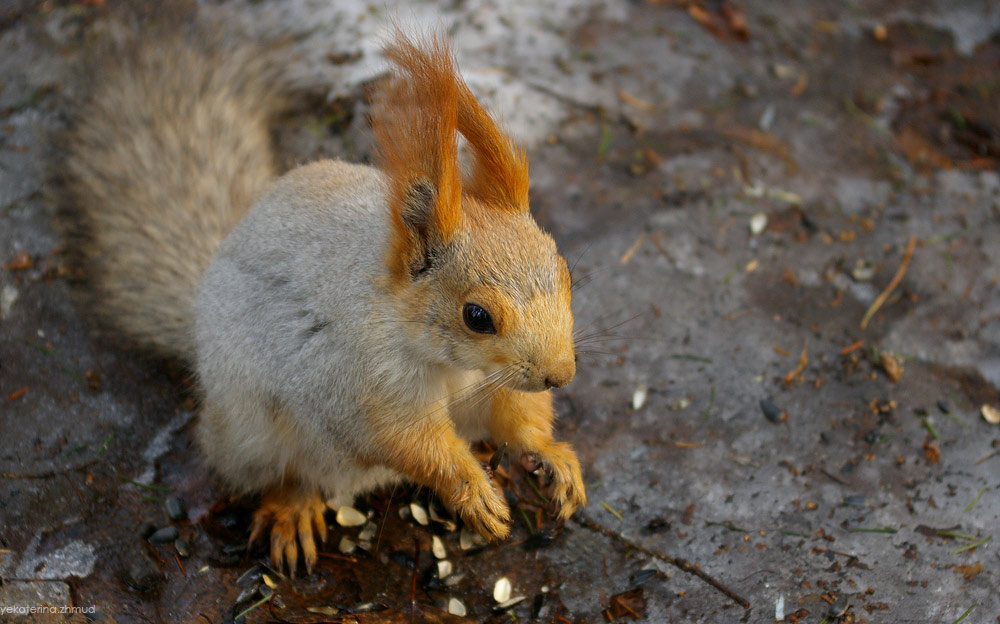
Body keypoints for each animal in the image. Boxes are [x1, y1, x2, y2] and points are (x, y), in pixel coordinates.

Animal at [54, 20, 586, 574]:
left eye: (566, 271)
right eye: (476, 315)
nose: (560, 375)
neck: (451, 364)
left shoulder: (495, 385)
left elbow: (518, 418)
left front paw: (554, 456)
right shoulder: (363, 382)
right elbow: (407, 441)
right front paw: (470, 489)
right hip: (253, 435)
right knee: (286, 477)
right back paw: (294, 510)